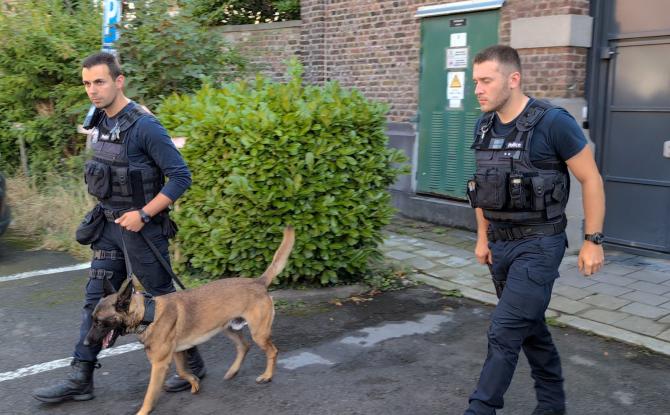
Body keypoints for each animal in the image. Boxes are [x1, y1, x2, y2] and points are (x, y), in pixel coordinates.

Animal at [84, 228, 294, 415]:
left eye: (100, 322)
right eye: (92, 320)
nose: (86, 343)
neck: (149, 314)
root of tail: (258, 282)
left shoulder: (159, 364)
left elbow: (149, 395)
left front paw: (143, 411)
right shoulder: (176, 353)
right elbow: (183, 371)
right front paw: (194, 382)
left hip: (259, 334)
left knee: (272, 351)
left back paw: (267, 376)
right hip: (228, 329)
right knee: (244, 346)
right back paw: (233, 371)